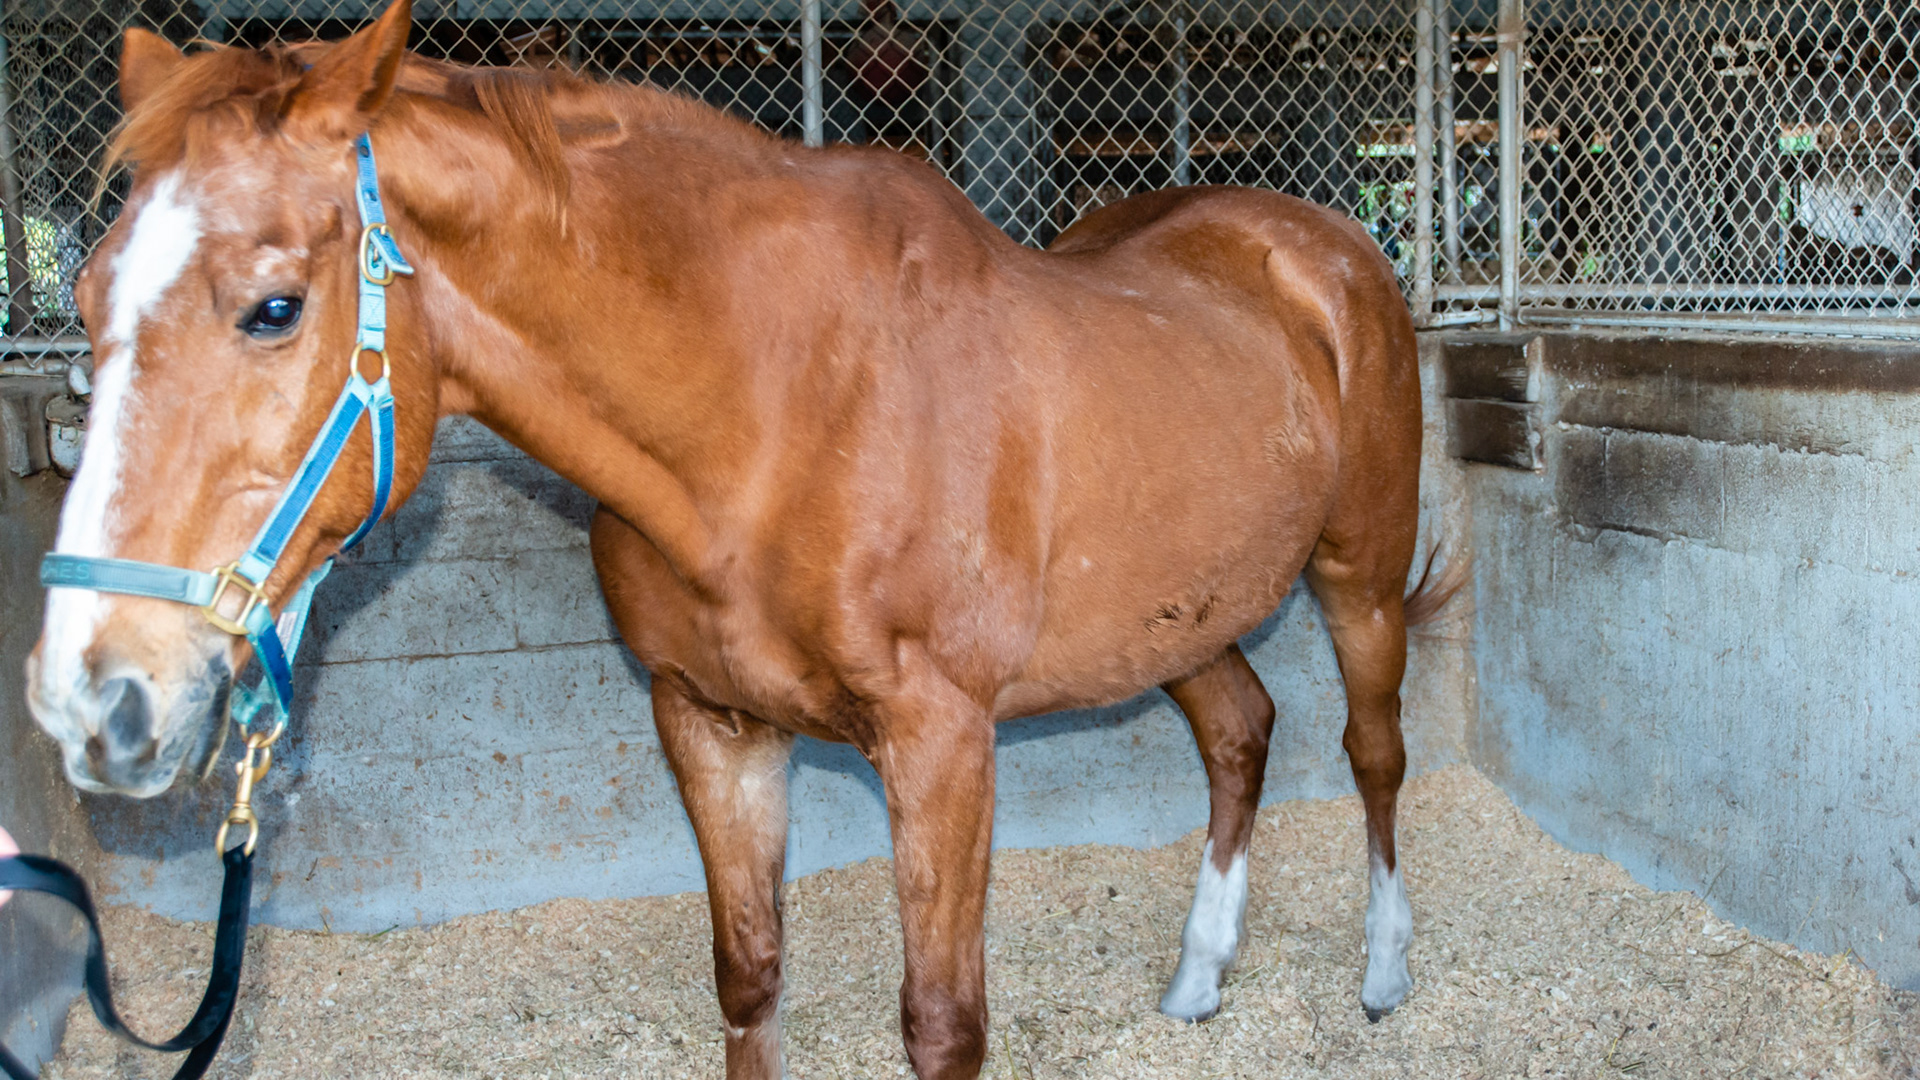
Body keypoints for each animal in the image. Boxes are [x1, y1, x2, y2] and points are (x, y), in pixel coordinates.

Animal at [24, 3, 1454, 1075]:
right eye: (86, 294)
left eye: (272, 307)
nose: (90, 695)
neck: (776, 413)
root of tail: (1313, 246)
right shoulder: (710, 722)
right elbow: (750, 977)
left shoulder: (940, 744)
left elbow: (943, 1024)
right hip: (1178, 613)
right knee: (1240, 733)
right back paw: (1200, 979)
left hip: (1358, 580)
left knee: (1374, 751)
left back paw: (1387, 973)